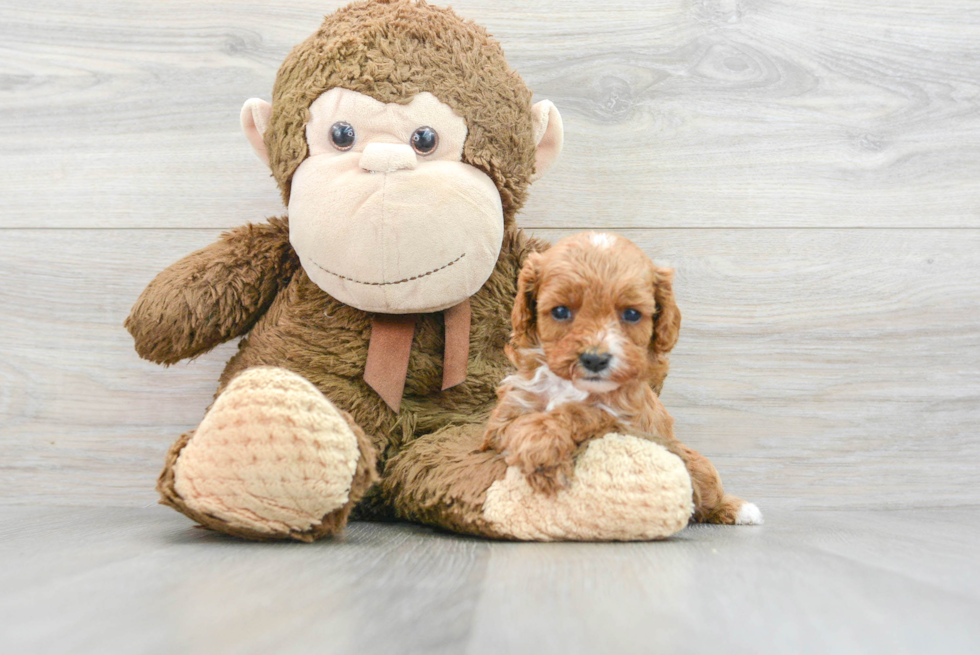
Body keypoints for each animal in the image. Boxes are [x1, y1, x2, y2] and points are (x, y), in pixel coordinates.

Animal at [478, 233, 760, 524]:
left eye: (632, 314)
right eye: (560, 311)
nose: (594, 359)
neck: (572, 386)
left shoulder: (627, 423)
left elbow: (584, 412)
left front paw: (542, 445)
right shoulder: (507, 415)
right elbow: (514, 427)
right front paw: (541, 453)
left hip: (695, 464)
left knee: (707, 490)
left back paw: (739, 509)